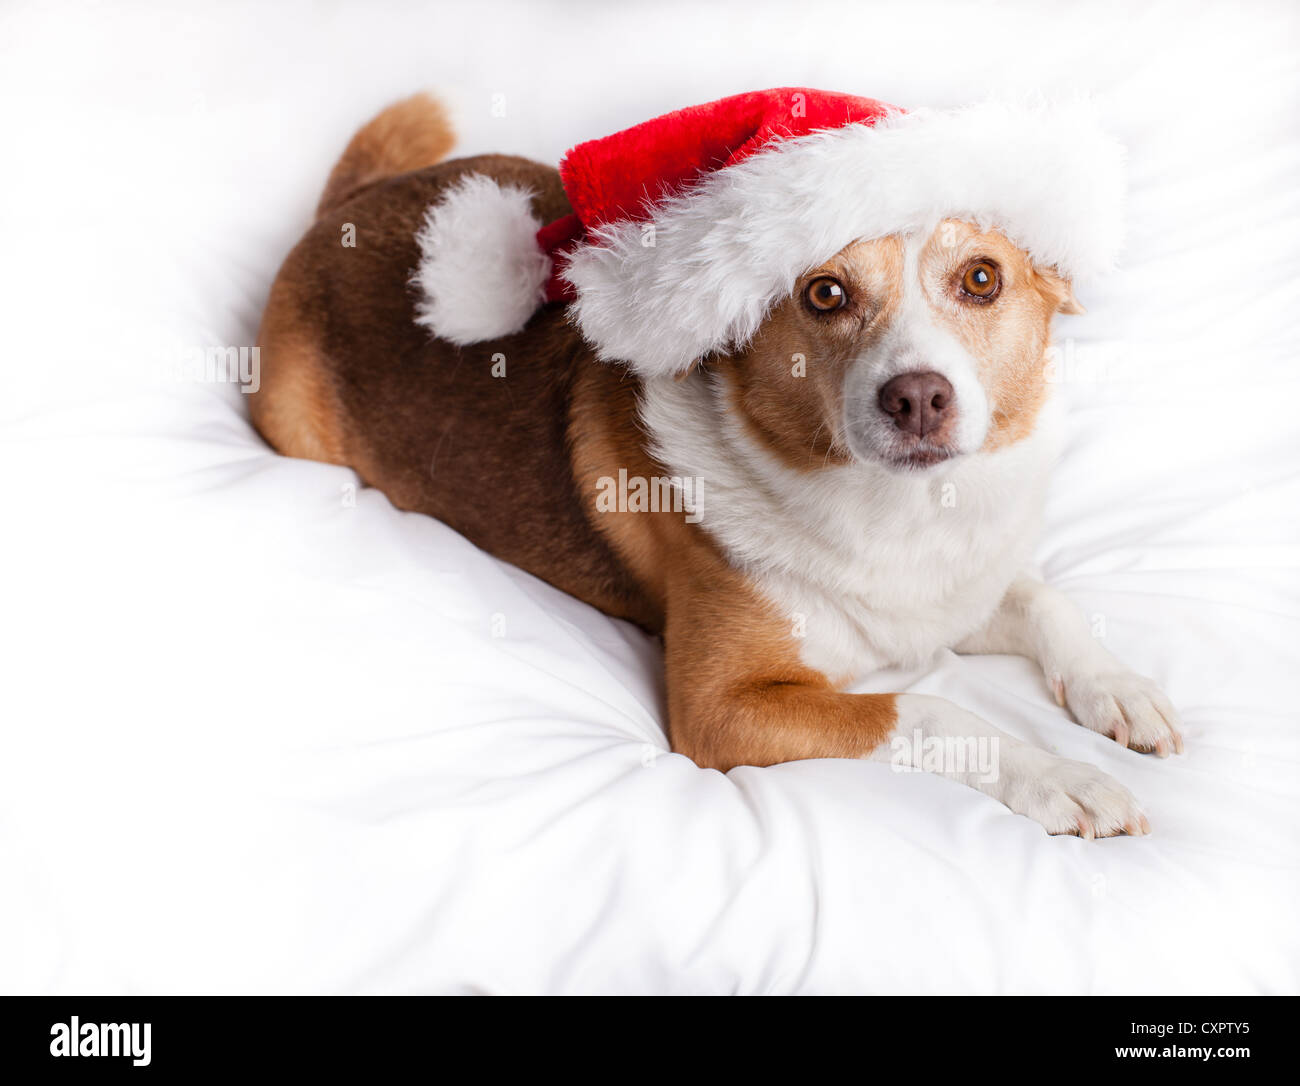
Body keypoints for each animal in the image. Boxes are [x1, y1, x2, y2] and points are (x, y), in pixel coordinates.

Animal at [248, 91, 1185, 842]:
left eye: (982, 279)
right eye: (825, 294)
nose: (917, 397)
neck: (904, 514)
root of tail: (346, 206)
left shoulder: (953, 594)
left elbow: (1044, 597)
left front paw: (1116, 687)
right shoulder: (725, 710)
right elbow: (930, 706)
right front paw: (1062, 777)